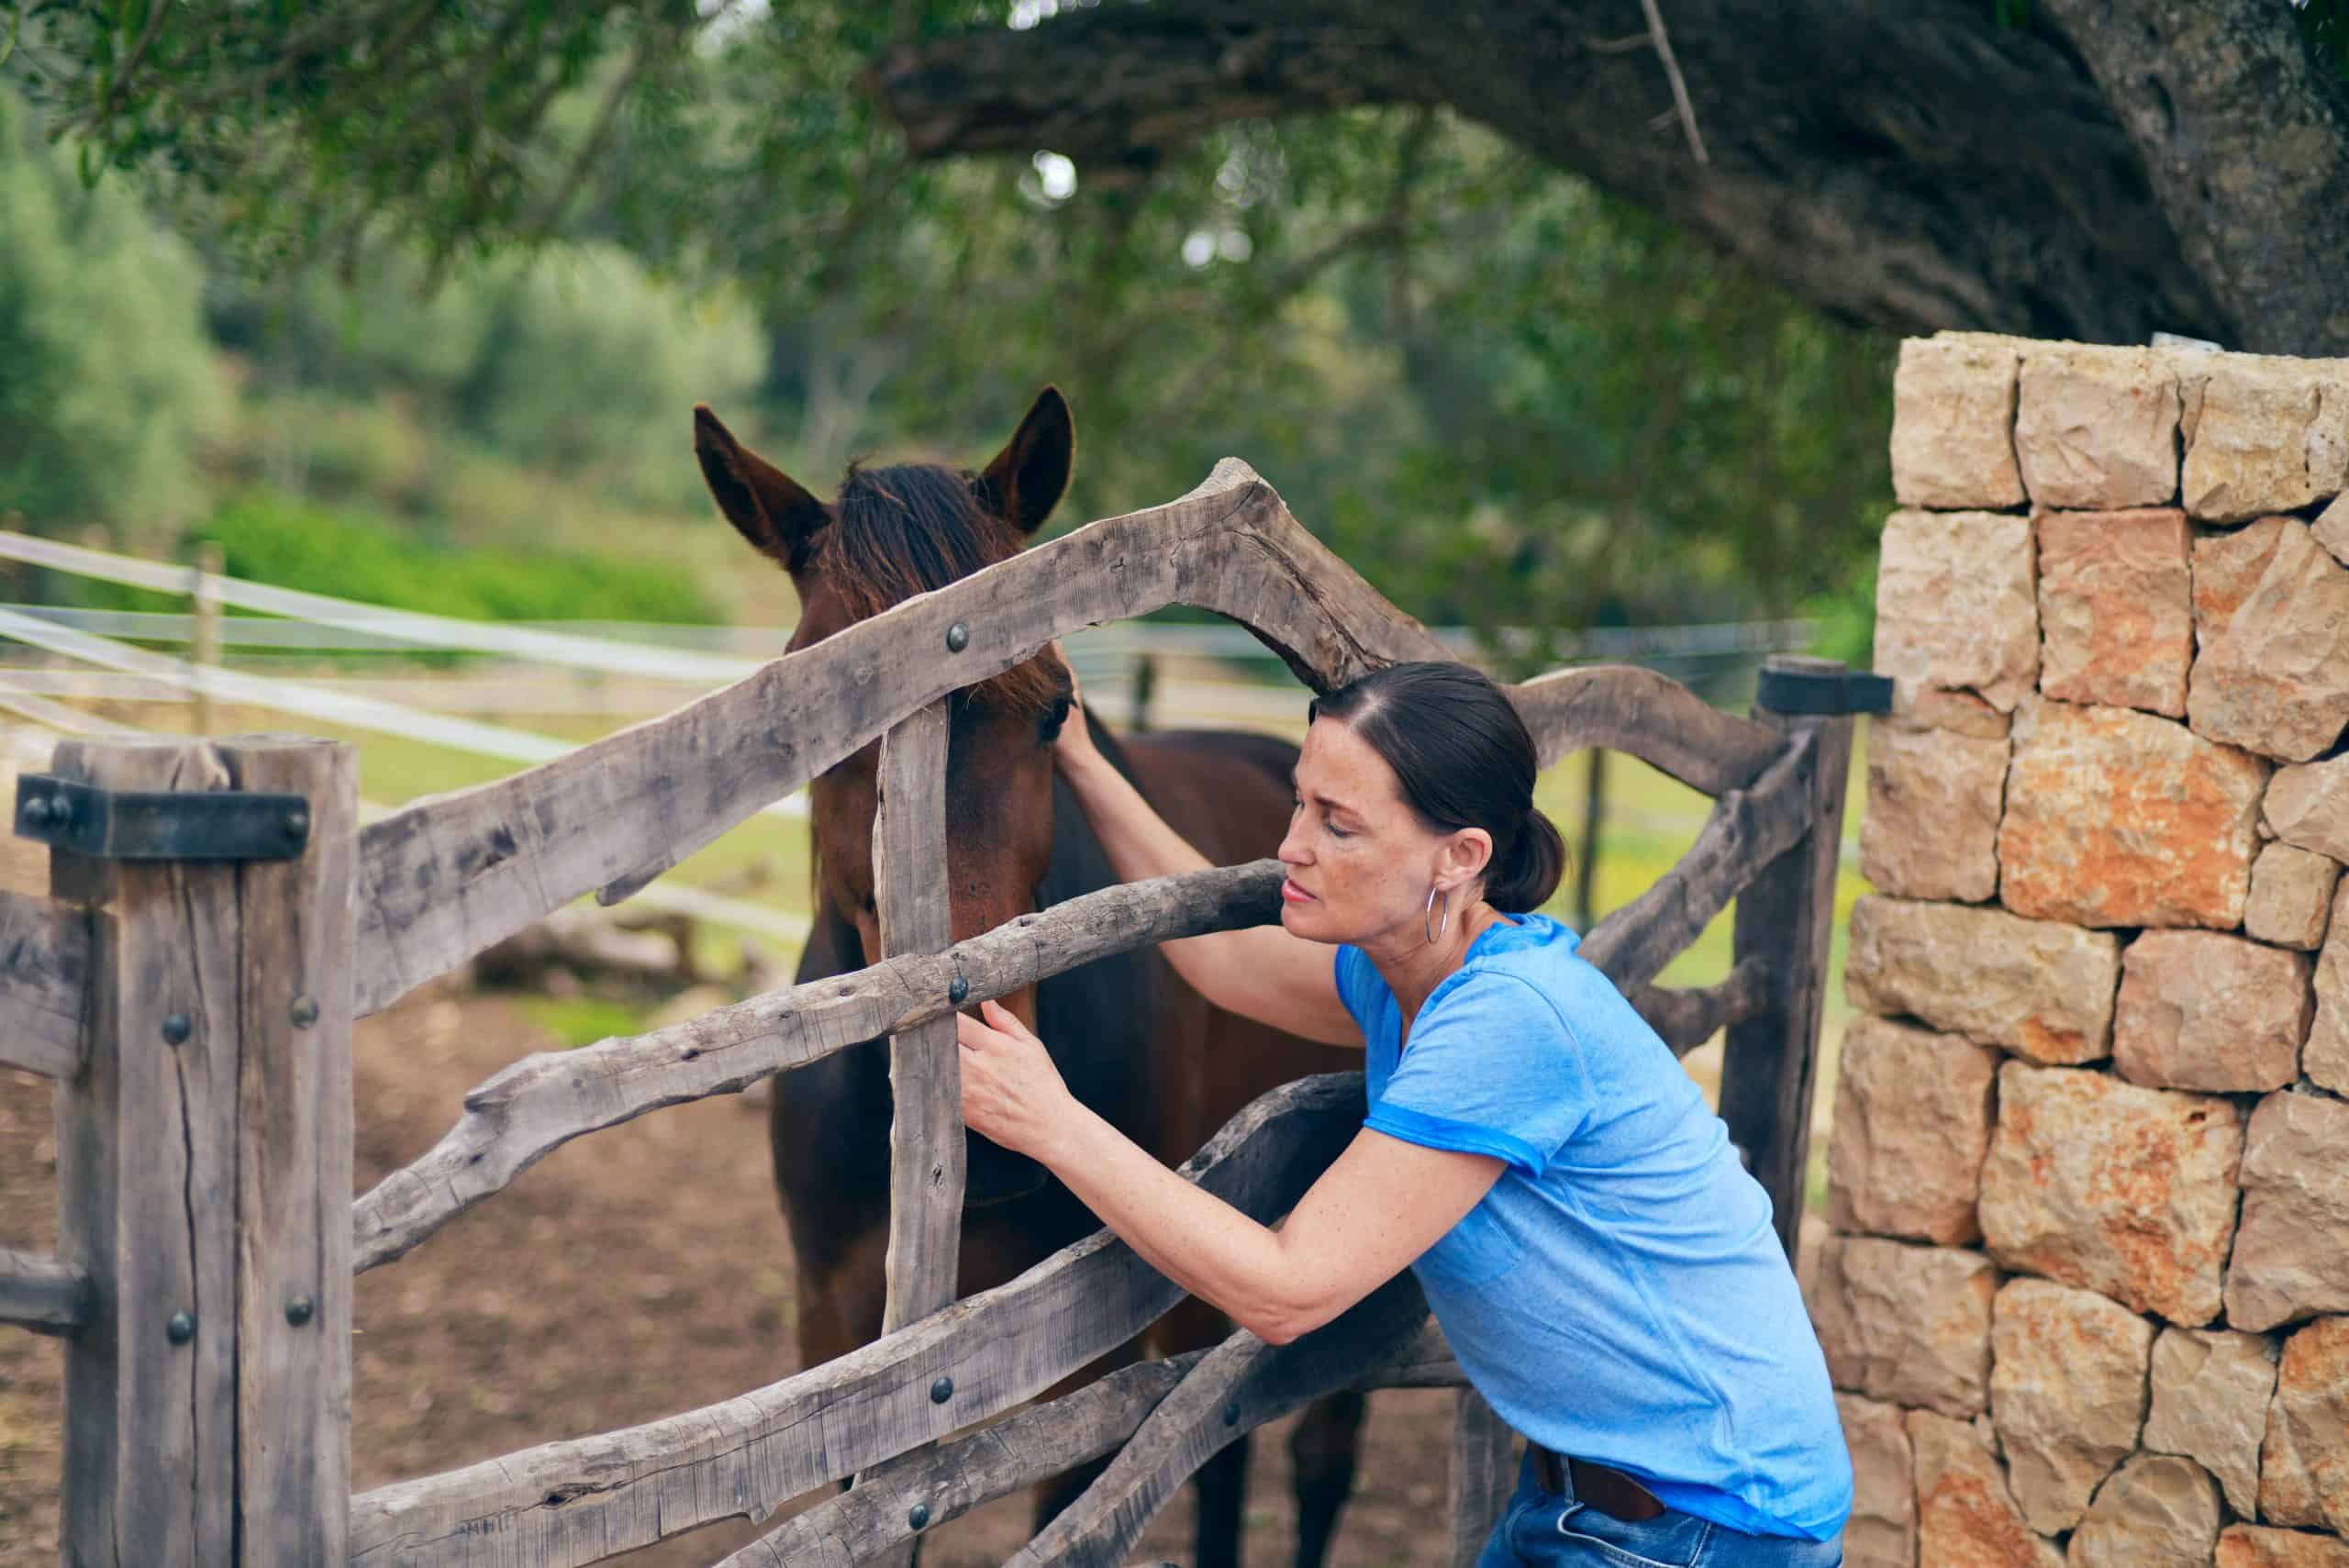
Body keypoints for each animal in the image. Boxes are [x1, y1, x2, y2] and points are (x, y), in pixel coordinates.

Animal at [685, 383, 1372, 1568]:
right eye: (824, 727)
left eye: (1057, 708)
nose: (991, 1112)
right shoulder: (840, 1336)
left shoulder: (1090, 1346)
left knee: (1317, 1456)